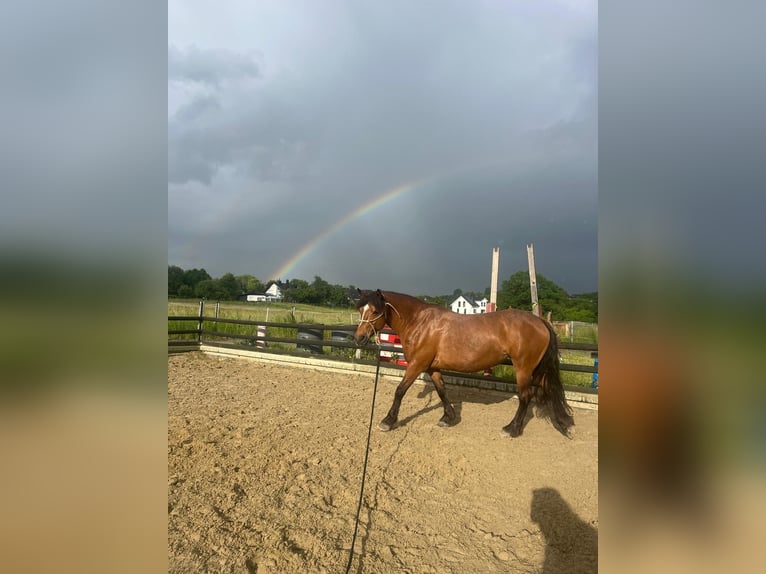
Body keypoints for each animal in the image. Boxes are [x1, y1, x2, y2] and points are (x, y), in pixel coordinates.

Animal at [353, 289, 574, 437]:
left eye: (375, 311)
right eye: (360, 310)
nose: (359, 338)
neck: (420, 323)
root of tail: (540, 322)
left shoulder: (417, 364)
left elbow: (400, 391)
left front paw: (388, 421)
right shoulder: (432, 367)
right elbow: (442, 390)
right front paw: (448, 418)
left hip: (523, 368)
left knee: (525, 397)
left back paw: (512, 428)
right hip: (535, 369)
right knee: (547, 390)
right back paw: (562, 423)